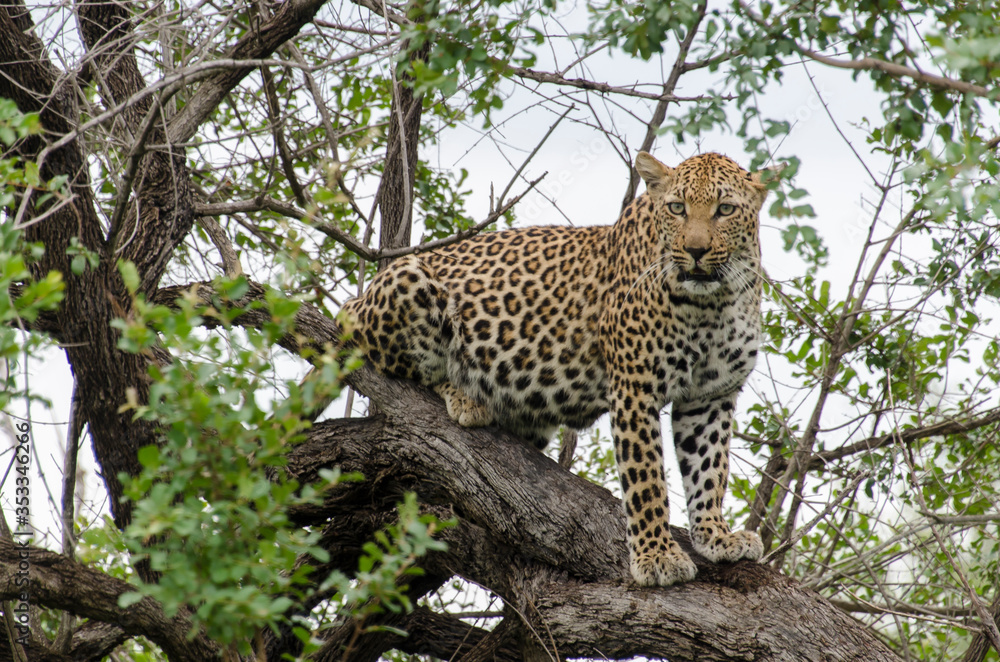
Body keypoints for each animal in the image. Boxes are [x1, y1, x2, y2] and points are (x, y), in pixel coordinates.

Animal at [340, 150, 776, 588]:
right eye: (676, 208)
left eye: (725, 210)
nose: (696, 251)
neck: (713, 303)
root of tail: (363, 295)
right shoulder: (635, 387)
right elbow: (646, 477)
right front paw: (656, 555)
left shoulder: (711, 397)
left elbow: (708, 469)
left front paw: (716, 536)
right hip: (408, 280)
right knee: (403, 362)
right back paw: (466, 397)